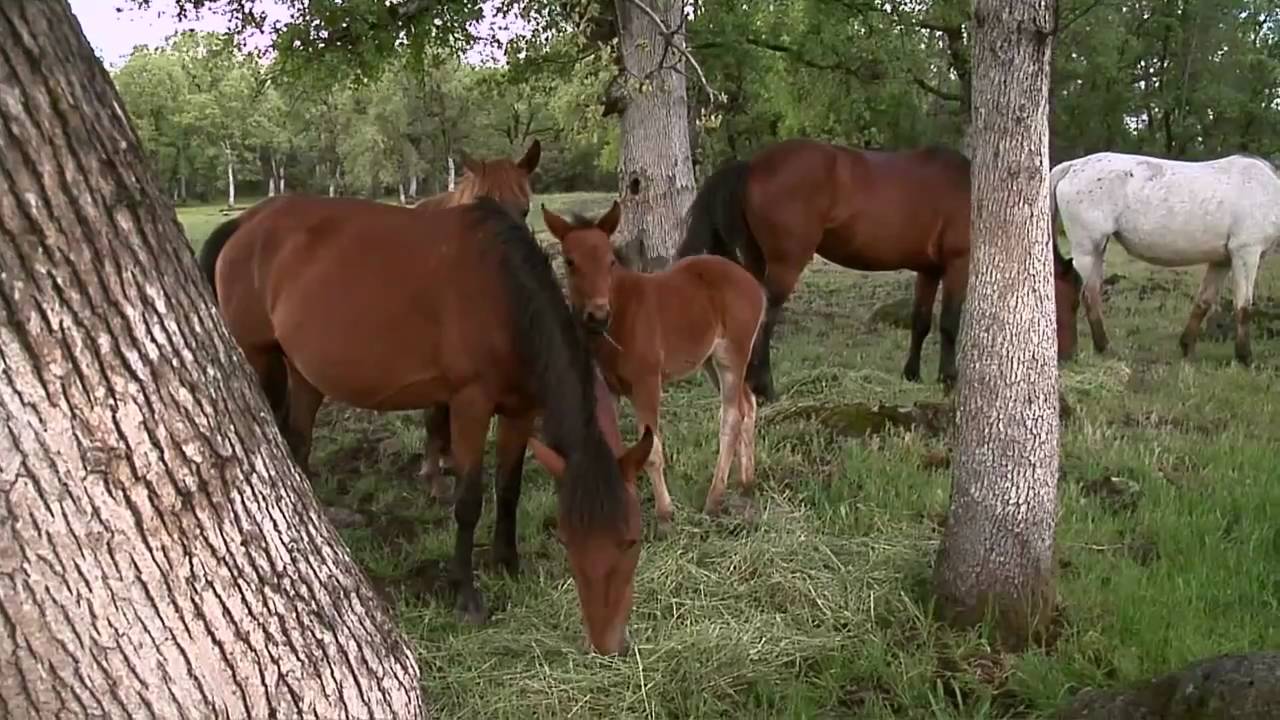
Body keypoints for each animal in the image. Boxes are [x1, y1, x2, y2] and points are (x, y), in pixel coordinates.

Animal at [196, 194, 652, 655]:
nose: (607, 642)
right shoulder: (469, 404)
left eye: (632, 539)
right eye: (569, 539)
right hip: (258, 357)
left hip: (304, 375)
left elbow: (509, 490)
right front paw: (466, 595)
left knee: (299, 447)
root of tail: (246, 224)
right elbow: (469, 501)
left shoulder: (520, 412)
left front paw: (508, 563)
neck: (503, 294)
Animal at [543, 201, 766, 523]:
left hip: (732, 356)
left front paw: (665, 514)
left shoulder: (647, 383)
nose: (598, 315)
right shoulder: (610, 388)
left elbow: (651, 451)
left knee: (732, 417)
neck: (622, 313)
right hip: (711, 361)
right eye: (569, 261)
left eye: (611, 261)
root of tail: (754, 285)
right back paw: (746, 482)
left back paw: (714, 499)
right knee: (748, 404)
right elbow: (616, 447)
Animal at [678, 138, 1084, 401]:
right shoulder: (958, 265)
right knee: (765, 317)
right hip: (784, 265)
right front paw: (948, 379)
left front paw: (912, 374)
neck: (974, 194)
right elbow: (949, 323)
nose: (1069, 355)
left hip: (757, 259)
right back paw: (765, 388)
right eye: (1072, 299)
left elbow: (921, 322)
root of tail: (753, 165)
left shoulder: (929, 270)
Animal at [1049, 151, 1280, 365]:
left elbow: (1204, 301)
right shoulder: (1246, 253)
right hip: (1087, 247)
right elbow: (1243, 307)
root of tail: (1072, 166)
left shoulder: (1221, 260)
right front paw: (1245, 358)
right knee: (1087, 295)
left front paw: (1187, 347)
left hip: (1098, 249)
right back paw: (1102, 347)